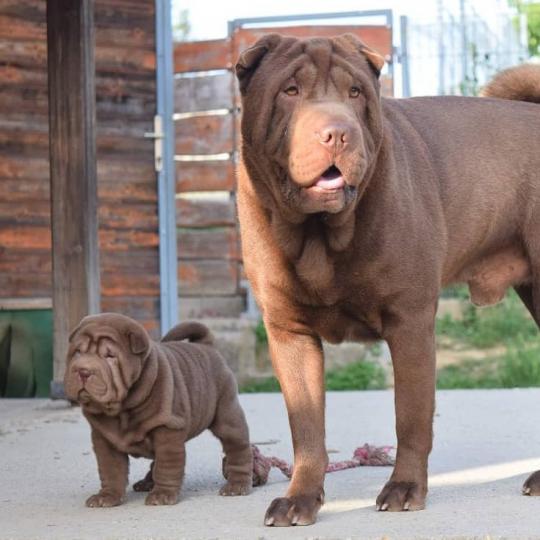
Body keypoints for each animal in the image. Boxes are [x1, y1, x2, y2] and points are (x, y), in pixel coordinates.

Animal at [64, 312, 254, 506]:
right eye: (77, 352)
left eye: (110, 356)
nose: (83, 371)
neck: (122, 410)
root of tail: (207, 346)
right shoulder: (104, 437)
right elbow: (110, 470)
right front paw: (107, 496)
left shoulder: (167, 429)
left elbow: (166, 465)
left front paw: (162, 495)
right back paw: (146, 483)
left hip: (227, 414)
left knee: (237, 448)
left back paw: (236, 486)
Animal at [235, 32, 540, 524]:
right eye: (290, 91)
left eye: (355, 92)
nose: (337, 132)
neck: (320, 236)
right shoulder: (289, 332)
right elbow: (307, 427)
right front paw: (302, 497)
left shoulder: (409, 320)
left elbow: (410, 415)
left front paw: (405, 488)